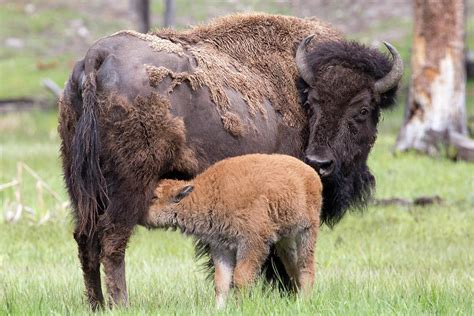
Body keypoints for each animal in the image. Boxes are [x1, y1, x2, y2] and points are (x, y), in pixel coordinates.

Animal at [143, 154, 322, 308]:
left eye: (154, 197)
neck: (208, 193)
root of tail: (311, 174)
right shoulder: (221, 247)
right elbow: (221, 282)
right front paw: (219, 309)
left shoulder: (252, 244)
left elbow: (240, 278)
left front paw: (238, 306)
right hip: (286, 240)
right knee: (293, 267)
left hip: (307, 232)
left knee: (306, 267)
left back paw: (304, 301)